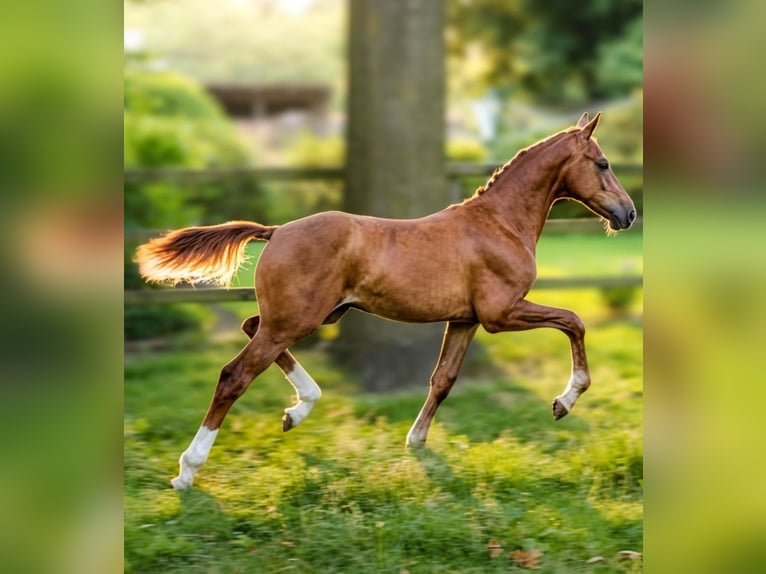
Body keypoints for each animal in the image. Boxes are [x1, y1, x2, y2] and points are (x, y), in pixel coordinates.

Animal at [136, 112, 636, 489]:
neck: (499, 223)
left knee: (250, 329)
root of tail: (275, 231)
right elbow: (574, 320)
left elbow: (443, 379)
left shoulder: (466, 320)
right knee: (234, 375)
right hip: (296, 319)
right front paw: (564, 402)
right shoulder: (501, 313)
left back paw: (298, 410)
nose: (629, 213)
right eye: (603, 163)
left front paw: (416, 442)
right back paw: (188, 471)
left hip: (303, 316)